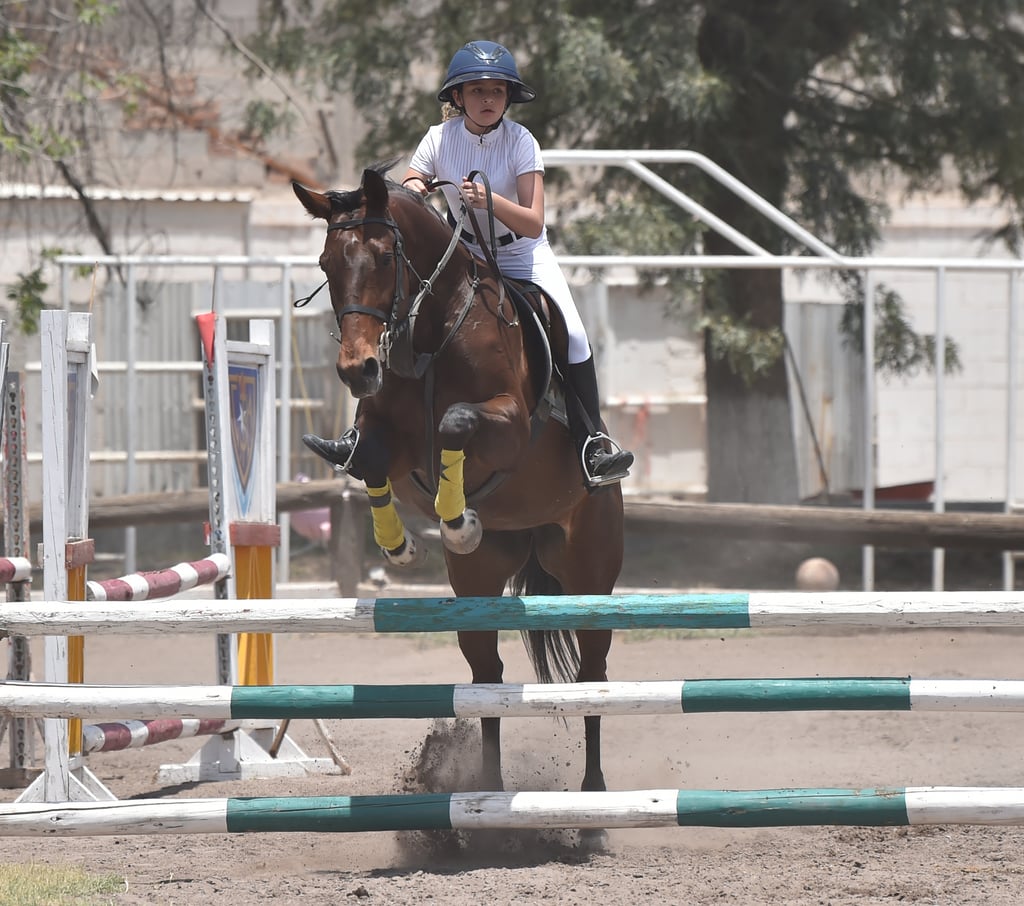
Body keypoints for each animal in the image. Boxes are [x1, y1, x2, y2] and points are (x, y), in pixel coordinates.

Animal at [292, 162, 618, 790]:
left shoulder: (509, 426)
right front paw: (399, 547)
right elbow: (368, 458)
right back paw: (486, 791)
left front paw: (457, 518)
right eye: (325, 264)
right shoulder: (390, 441)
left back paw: (594, 794)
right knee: (486, 675)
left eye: (385, 257)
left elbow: (455, 422)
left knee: (594, 674)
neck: (430, 330)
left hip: (590, 571)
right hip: (477, 585)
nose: (357, 370)